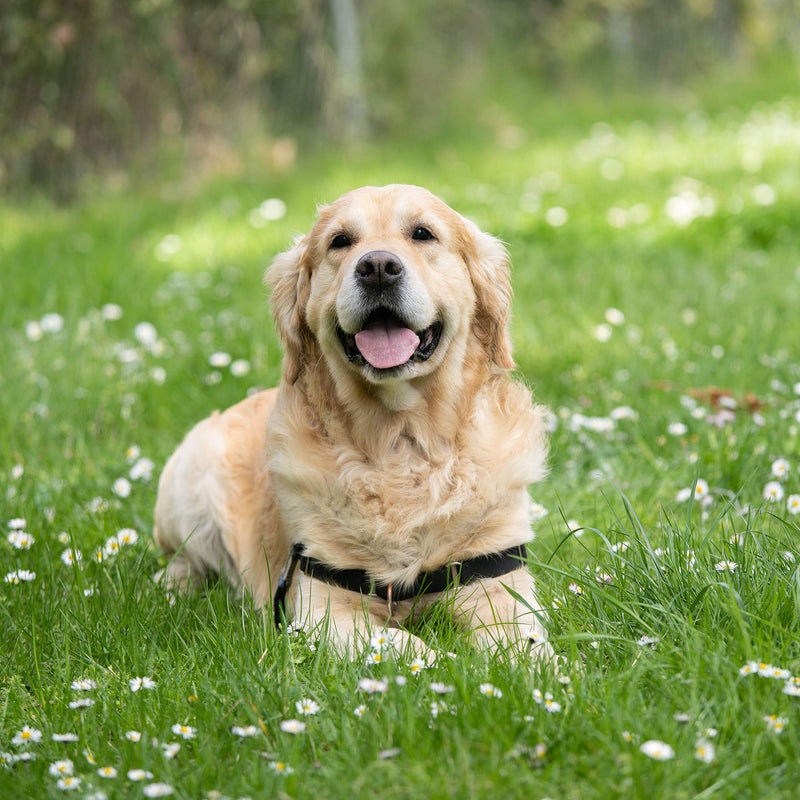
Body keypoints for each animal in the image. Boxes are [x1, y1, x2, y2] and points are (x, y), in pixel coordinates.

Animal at [152, 183, 552, 664]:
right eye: (340, 241)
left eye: (423, 233)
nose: (377, 267)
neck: (401, 443)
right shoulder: (321, 608)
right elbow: (409, 647)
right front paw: (452, 667)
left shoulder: (498, 582)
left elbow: (526, 647)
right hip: (189, 481)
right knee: (182, 560)